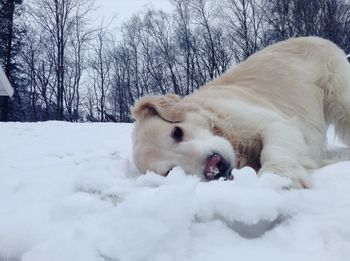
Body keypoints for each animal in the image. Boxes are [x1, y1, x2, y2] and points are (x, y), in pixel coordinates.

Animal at [131, 36, 350, 187]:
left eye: (177, 132)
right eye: (170, 172)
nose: (215, 167)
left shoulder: (273, 122)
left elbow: (274, 147)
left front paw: (279, 177)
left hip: (342, 99)